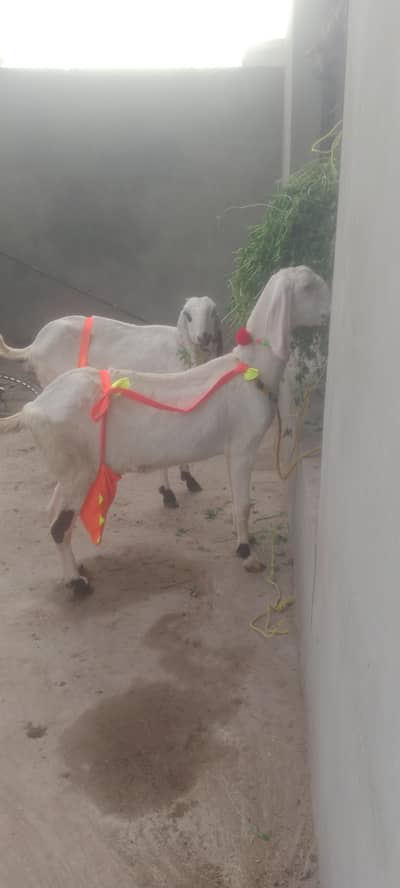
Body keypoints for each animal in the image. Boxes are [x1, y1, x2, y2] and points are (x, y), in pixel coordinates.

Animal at [0, 295, 222, 507]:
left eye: (212, 312)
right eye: (188, 315)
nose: (205, 337)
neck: (179, 347)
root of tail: (34, 346)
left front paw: (188, 478)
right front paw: (168, 494)